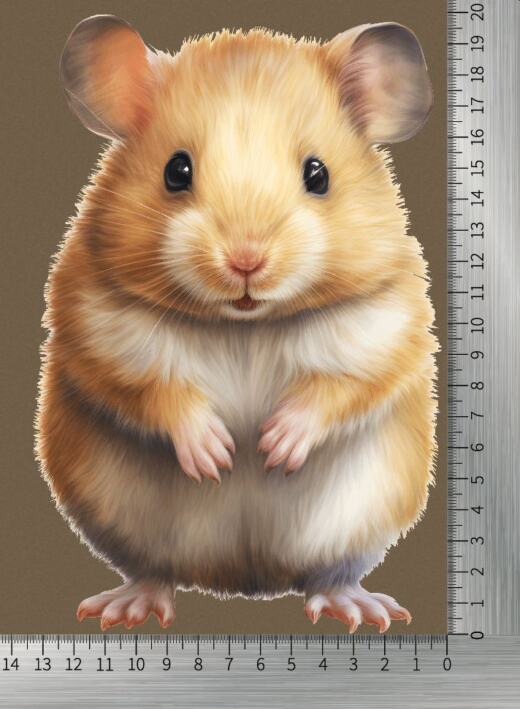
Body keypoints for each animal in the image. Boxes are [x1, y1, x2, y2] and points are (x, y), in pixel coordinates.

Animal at [36, 15, 437, 633]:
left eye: (318, 174)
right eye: (176, 170)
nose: (246, 261)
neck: (245, 325)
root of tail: (242, 583)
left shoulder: (385, 325)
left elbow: (340, 384)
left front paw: (273, 447)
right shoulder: (97, 324)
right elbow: (155, 387)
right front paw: (217, 456)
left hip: (364, 519)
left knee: (330, 573)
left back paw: (362, 610)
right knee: (152, 569)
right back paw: (124, 610)